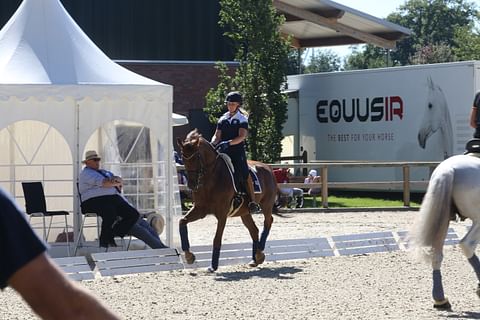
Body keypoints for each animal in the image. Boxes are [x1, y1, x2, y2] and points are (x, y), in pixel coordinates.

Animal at [176, 129, 276, 272]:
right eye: (183, 158)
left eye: (196, 157)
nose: (192, 185)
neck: (211, 178)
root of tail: (268, 168)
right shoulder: (200, 209)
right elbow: (182, 222)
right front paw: (189, 256)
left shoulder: (222, 214)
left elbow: (217, 239)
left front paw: (213, 266)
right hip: (244, 212)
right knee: (254, 230)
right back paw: (255, 259)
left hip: (266, 205)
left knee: (268, 222)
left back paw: (259, 253)